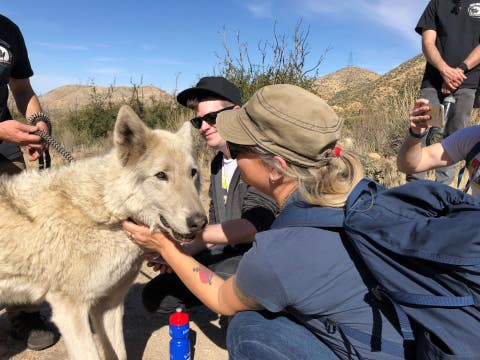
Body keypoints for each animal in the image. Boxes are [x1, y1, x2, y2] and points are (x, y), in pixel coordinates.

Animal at [0, 105, 205, 358]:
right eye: (161, 176)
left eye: (192, 173)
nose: (200, 222)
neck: (109, 212)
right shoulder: (71, 312)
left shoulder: (109, 306)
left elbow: (119, 352)